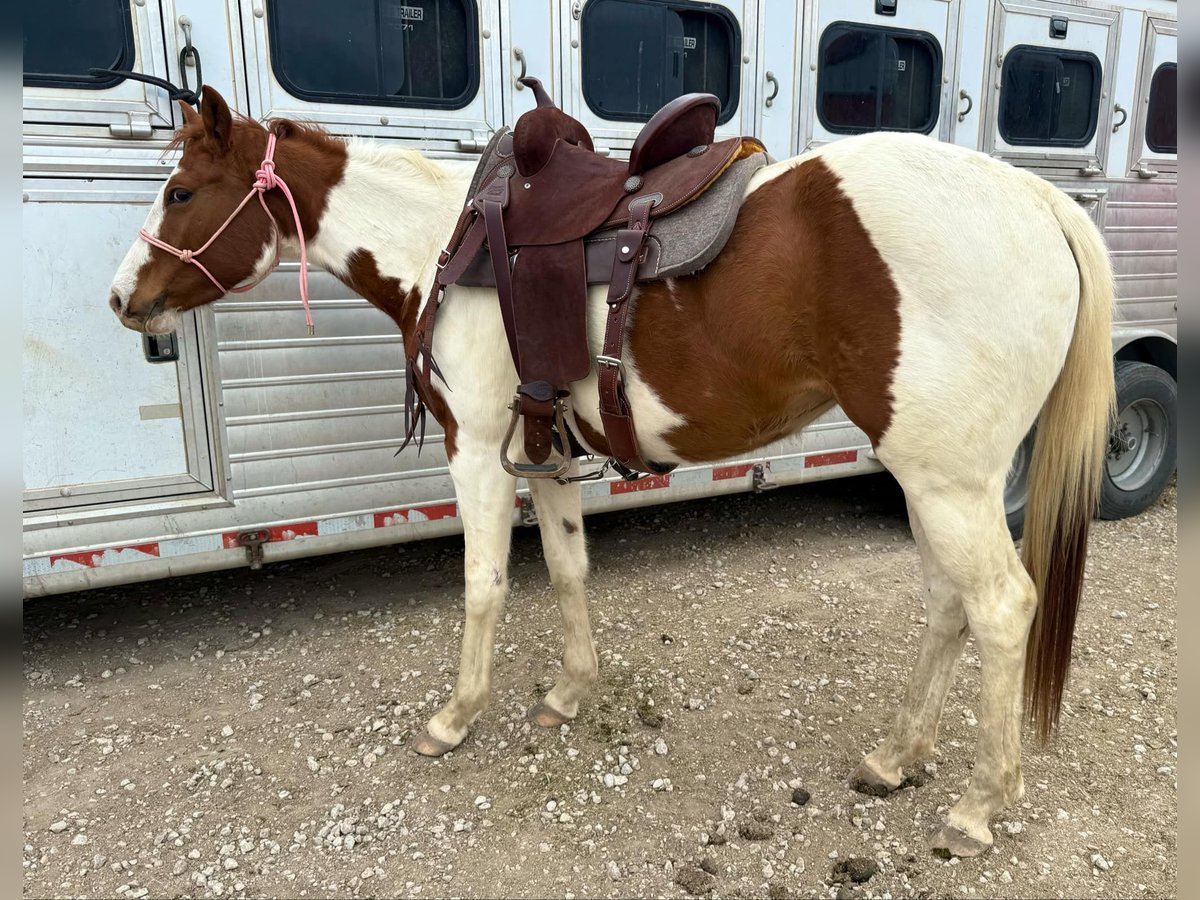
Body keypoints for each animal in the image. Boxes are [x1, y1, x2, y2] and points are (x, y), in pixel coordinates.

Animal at [107, 86, 1114, 858]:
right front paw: (569, 693)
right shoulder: (543, 449)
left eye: (182, 189)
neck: (442, 242)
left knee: (1000, 608)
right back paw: (896, 756)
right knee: (949, 605)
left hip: (949, 483)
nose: (122, 299)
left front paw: (455, 717)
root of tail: (1037, 201)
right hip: (935, 480)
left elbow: (483, 583)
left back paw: (978, 806)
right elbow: (566, 570)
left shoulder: (476, 446)